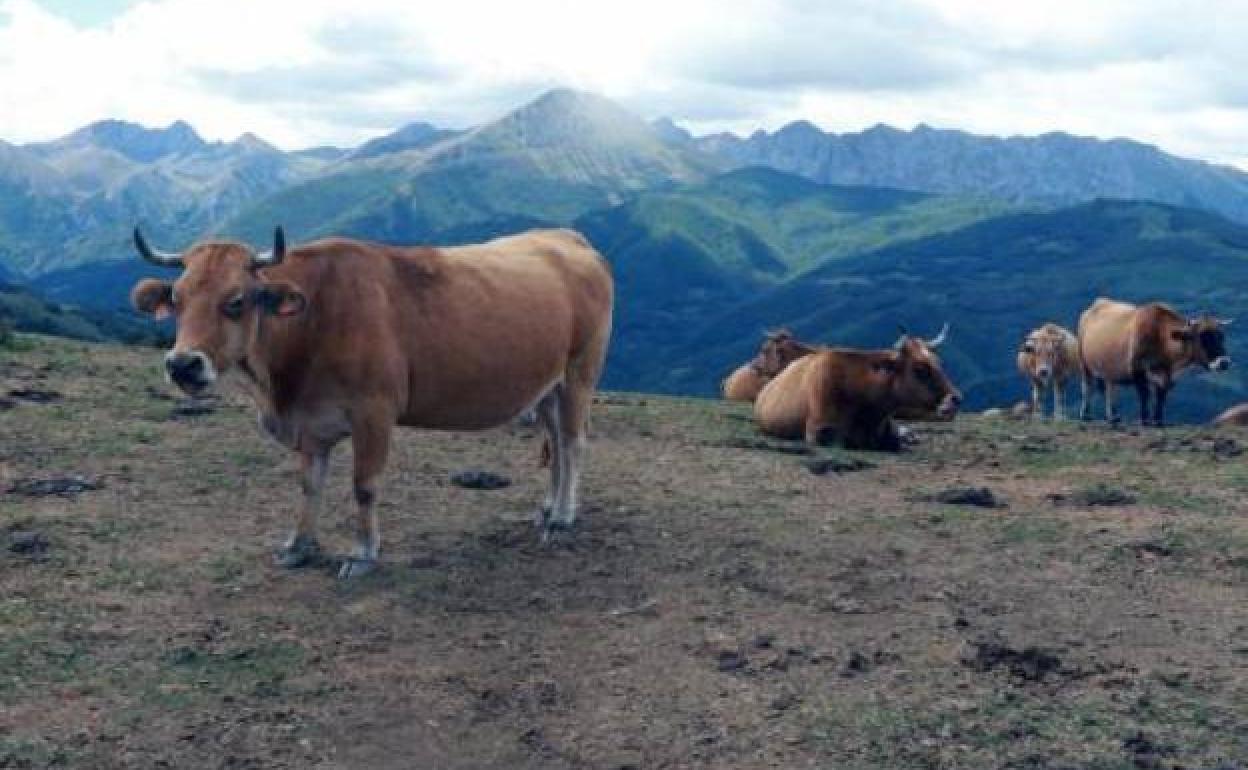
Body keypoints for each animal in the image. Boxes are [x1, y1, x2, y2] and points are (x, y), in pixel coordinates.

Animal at [129, 224, 611, 574]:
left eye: (235, 301)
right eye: (177, 298)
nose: (183, 365)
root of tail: (565, 236)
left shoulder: (374, 412)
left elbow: (364, 485)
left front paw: (363, 554)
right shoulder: (310, 423)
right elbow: (309, 485)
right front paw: (299, 546)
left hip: (579, 372)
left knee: (573, 444)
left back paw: (563, 516)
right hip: (546, 386)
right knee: (556, 444)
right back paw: (548, 507)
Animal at [1078, 295, 1233, 426]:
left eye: (1221, 336)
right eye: (1202, 337)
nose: (1224, 362)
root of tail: (1095, 305)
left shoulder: (1168, 377)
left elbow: (1161, 396)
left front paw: (1158, 420)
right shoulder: (1137, 370)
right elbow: (1144, 394)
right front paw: (1145, 420)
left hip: (1108, 369)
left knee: (1108, 388)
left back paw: (1113, 417)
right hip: (1084, 362)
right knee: (1087, 387)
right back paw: (1086, 415)